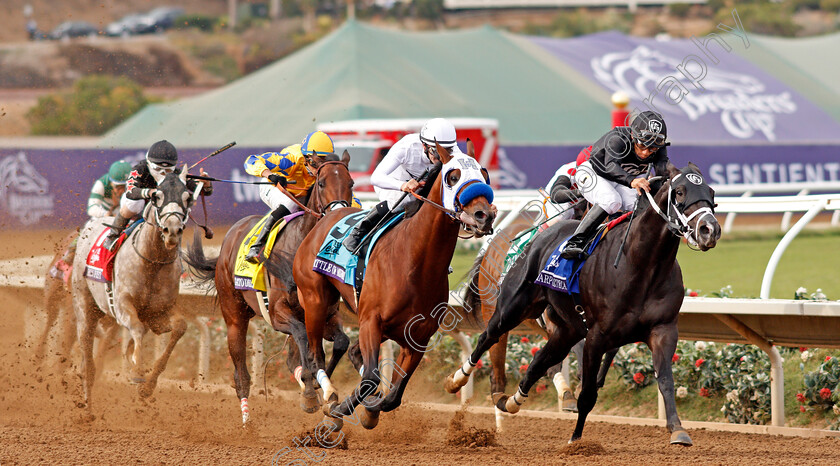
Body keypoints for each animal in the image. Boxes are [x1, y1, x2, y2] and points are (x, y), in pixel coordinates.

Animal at [182, 152, 356, 422]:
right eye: (322, 183)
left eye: (351, 183)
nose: (339, 215)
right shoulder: (276, 312)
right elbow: (305, 341)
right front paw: (313, 387)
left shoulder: (326, 314)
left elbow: (340, 343)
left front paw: (321, 387)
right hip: (234, 316)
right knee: (241, 374)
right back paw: (247, 420)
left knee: (293, 358)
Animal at [292, 141, 496, 430]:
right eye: (453, 177)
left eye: (484, 175)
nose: (484, 216)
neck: (416, 263)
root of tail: (328, 215)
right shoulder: (370, 322)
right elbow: (371, 378)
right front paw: (340, 409)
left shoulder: (417, 338)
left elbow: (393, 396)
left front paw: (371, 408)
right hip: (314, 300)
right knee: (315, 354)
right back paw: (326, 396)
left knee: (353, 352)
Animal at [446, 163, 720, 444]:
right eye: (680, 191)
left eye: (711, 192)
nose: (709, 230)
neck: (642, 265)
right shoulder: (596, 335)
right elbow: (587, 393)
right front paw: (575, 441)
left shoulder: (663, 330)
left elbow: (665, 380)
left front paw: (678, 429)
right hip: (512, 308)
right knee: (489, 339)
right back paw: (458, 381)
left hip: (566, 329)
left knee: (540, 361)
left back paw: (512, 401)